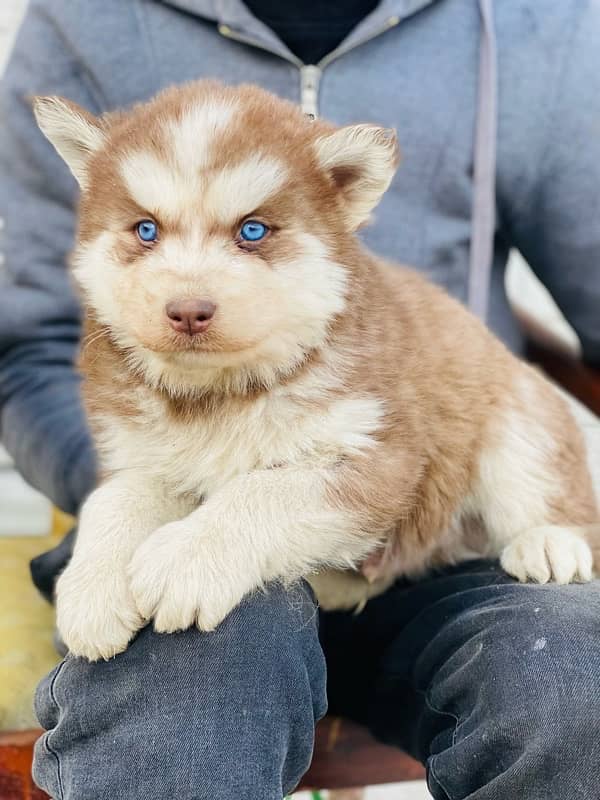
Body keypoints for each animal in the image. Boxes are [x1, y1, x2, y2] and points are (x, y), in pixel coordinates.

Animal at [34, 81, 600, 660]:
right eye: (145, 229)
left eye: (252, 230)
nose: (188, 310)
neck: (219, 393)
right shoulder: (140, 451)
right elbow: (116, 498)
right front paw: (92, 586)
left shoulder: (377, 451)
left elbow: (266, 492)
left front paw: (186, 559)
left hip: (515, 416)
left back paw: (550, 543)